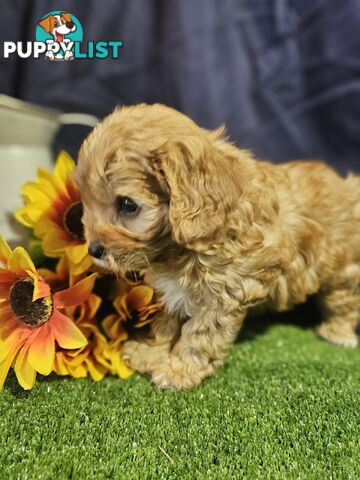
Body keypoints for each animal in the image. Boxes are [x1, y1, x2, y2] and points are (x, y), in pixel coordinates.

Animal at [76, 103, 360, 388]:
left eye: (127, 205)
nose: (94, 250)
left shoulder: (224, 295)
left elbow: (200, 336)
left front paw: (179, 371)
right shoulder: (174, 293)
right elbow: (165, 323)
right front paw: (149, 353)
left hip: (343, 268)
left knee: (343, 301)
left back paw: (338, 333)